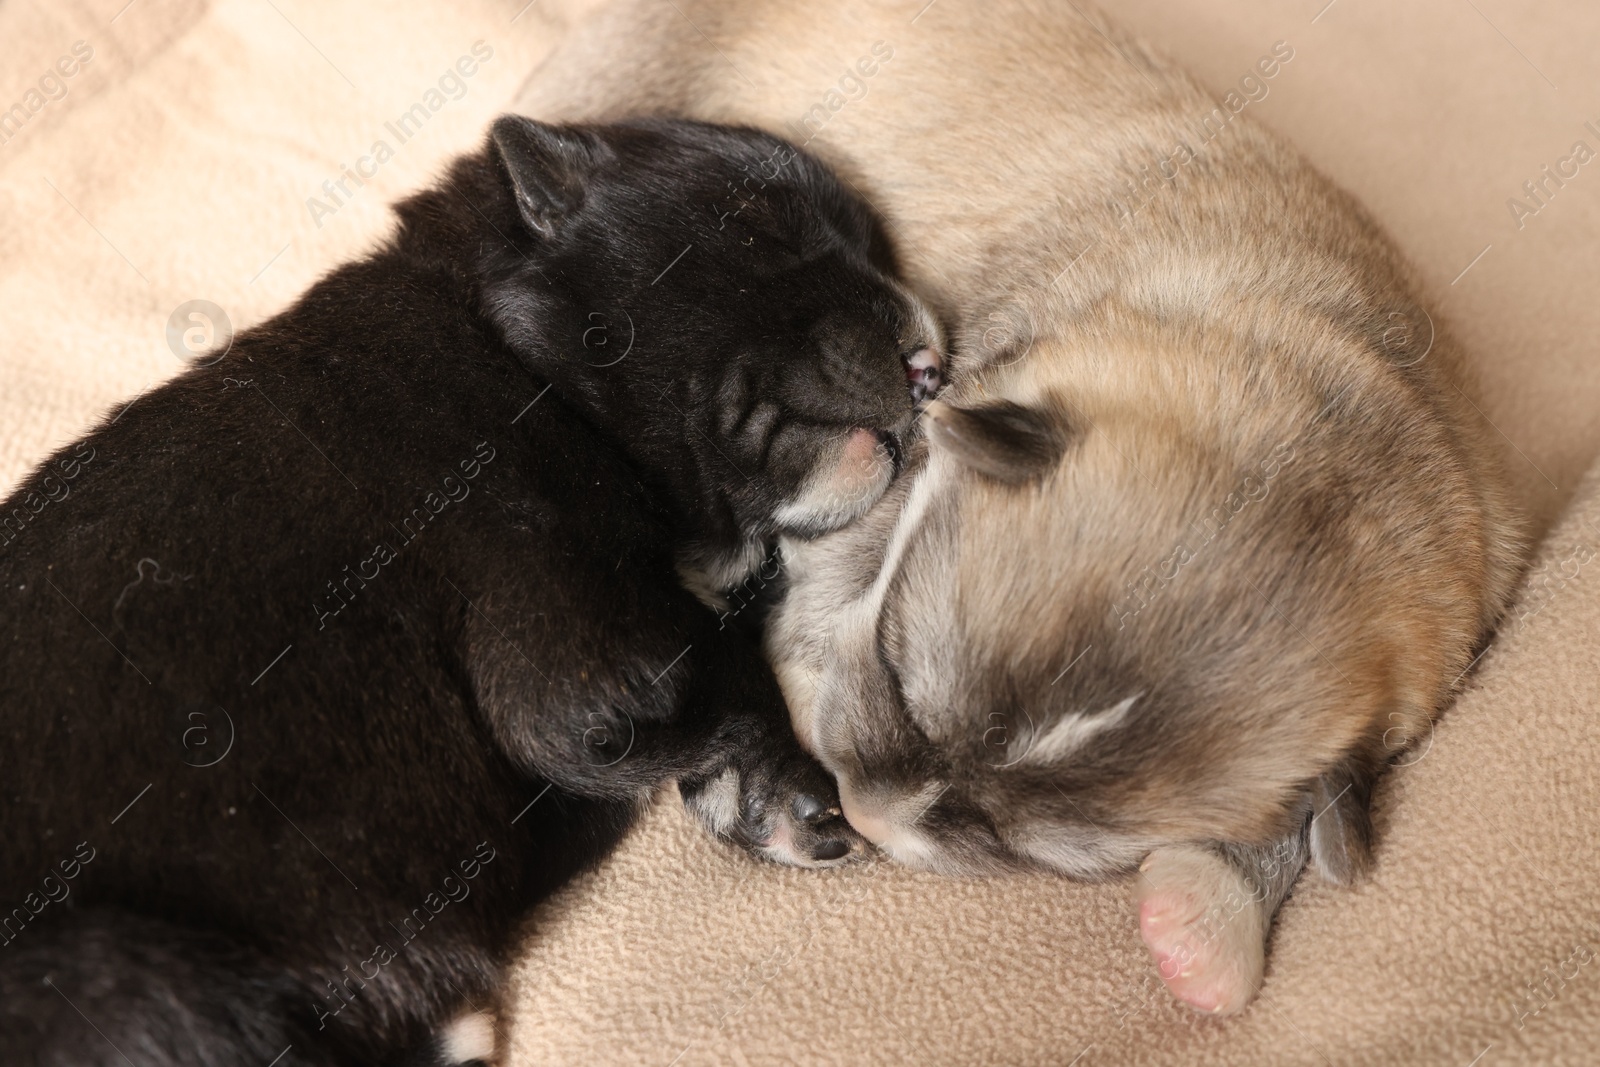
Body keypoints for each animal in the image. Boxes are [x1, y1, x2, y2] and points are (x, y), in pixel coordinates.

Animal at [0, 116, 934, 1067]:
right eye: (765, 226)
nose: (932, 361)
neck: (513, 350)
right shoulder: (573, 641)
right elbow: (699, 659)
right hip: (107, 963)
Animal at [515, 0, 1523, 1017]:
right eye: (896, 670)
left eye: (1019, 846)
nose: (865, 813)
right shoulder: (911, 443)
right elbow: (840, 565)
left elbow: (1315, 812)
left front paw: (1208, 919)